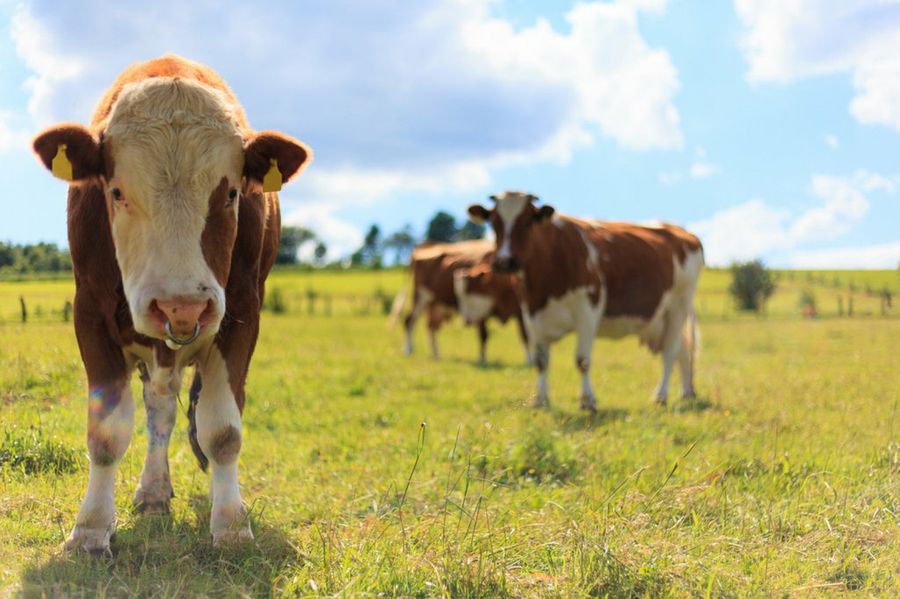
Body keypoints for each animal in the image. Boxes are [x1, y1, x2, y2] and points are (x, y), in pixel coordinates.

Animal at [31, 55, 311, 552]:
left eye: (231, 193)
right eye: (116, 191)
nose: (181, 307)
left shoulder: (242, 316)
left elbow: (222, 430)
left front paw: (231, 524)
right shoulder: (89, 315)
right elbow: (106, 433)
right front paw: (91, 528)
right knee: (159, 409)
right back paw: (154, 491)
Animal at [396, 240, 528, 364]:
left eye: (469, 290)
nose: (467, 321)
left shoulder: (520, 311)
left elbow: (525, 336)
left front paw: (529, 361)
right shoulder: (482, 311)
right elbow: (484, 335)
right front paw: (482, 360)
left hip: (435, 304)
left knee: (431, 327)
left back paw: (436, 354)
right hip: (421, 296)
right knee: (410, 320)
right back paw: (408, 350)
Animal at [467, 191, 703, 410]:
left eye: (527, 222)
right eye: (494, 222)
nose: (504, 261)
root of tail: (683, 232)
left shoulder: (588, 310)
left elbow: (582, 360)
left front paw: (588, 401)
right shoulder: (530, 313)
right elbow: (541, 361)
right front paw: (541, 400)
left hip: (679, 305)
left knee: (670, 352)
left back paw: (661, 396)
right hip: (656, 319)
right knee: (683, 349)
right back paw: (686, 392)